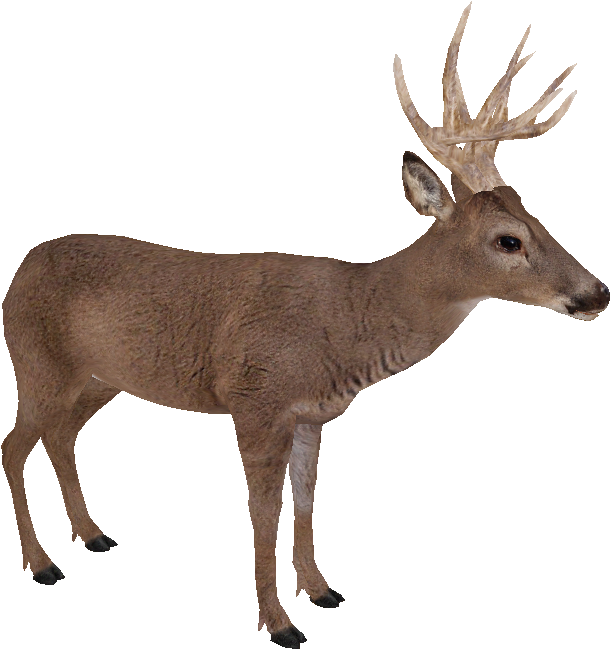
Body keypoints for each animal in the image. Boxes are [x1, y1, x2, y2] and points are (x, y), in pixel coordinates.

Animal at [2, 3, 607, 648]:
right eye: (508, 240)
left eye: (535, 214)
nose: (598, 292)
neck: (345, 322)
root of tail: (20, 269)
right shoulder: (255, 399)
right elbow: (262, 514)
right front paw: (277, 622)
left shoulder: (313, 414)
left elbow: (308, 501)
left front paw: (320, 590)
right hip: (34, 364)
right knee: (13, 445)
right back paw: (42, 563)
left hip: (98, 381)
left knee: (60, 438)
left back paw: (93, 534)